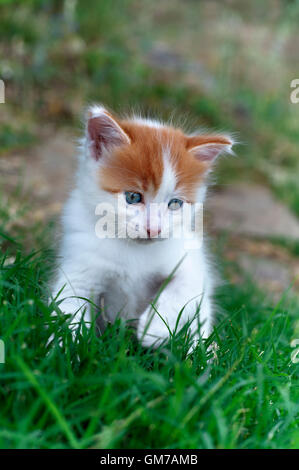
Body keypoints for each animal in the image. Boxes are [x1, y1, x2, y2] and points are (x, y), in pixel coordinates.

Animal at [51, 105, 234, 348]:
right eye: (133, 197)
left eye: (175, 204)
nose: (154, 229)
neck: (134, 250)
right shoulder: (78, 268)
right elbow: (67, 307)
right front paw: (64, 348)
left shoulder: (192, 263)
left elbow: (181, 288)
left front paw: (154, 329)